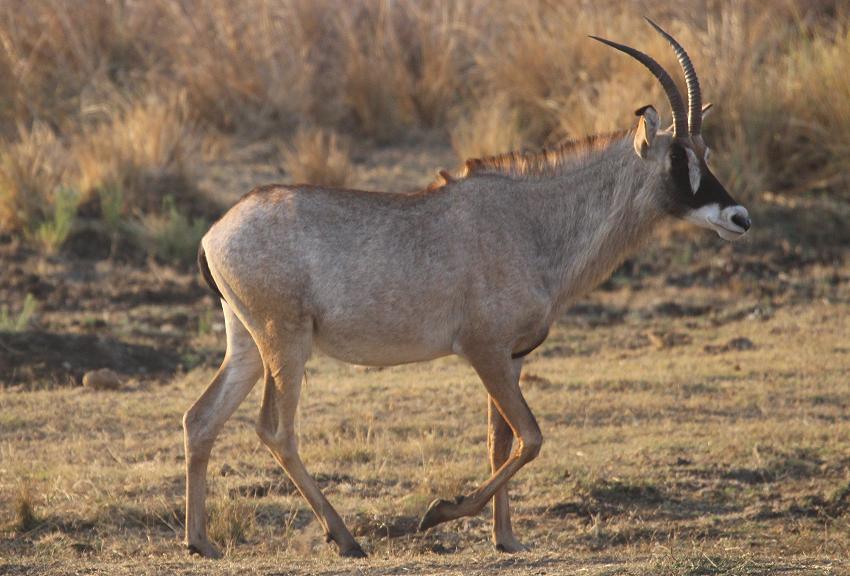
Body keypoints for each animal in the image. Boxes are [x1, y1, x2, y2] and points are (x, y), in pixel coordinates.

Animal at [184, 21, 748, 560]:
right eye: (677, 157)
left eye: (705, 151)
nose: (738, 218)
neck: (532, 222)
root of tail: (215, 233)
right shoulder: (484, 350)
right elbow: (531, 438)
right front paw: (439, 513)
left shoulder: (513, 356)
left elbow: (502, 443)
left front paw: (507, 539)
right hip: (286, 343)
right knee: (276, 430)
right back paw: (345, 539)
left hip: (247, 345)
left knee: (201, 418)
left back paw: (201, 542)